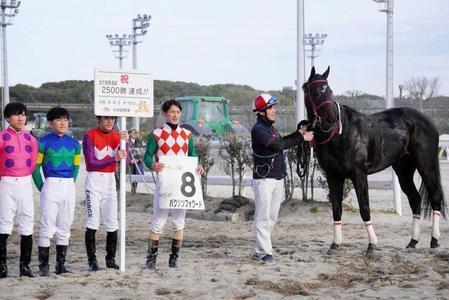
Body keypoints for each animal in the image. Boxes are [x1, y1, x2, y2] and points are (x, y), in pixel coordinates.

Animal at [300, 67, 444, 254]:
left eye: (329, 91)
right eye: (315, 92)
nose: (331, 120)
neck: (340, 134)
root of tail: (427, 120)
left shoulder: (359, 174)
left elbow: (364, 207)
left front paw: (372, 244)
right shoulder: (333, 176)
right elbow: (336, 208)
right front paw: (335, 244)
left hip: (426, 164)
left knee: (435, 196)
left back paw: (434, 240)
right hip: (403, 170)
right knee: (415, 199)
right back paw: (413, 241)